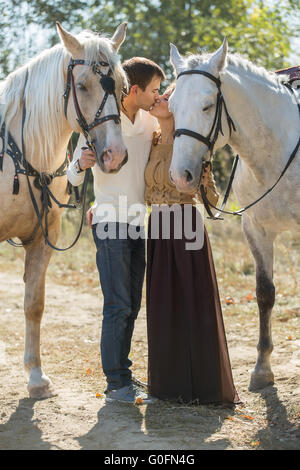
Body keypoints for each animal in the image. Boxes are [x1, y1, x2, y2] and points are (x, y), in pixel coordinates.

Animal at [0, 22, 127, 396]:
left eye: (122, 85)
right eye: (82, 86)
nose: (115, 155)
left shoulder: (44, 238)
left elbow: (34, 304)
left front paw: (36, 377)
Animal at [169, 40, 300, 392]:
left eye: (207, 106)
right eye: (171, 105)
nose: (181, 176)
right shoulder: (256, 229)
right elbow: (264, 293)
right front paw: (262, 369)